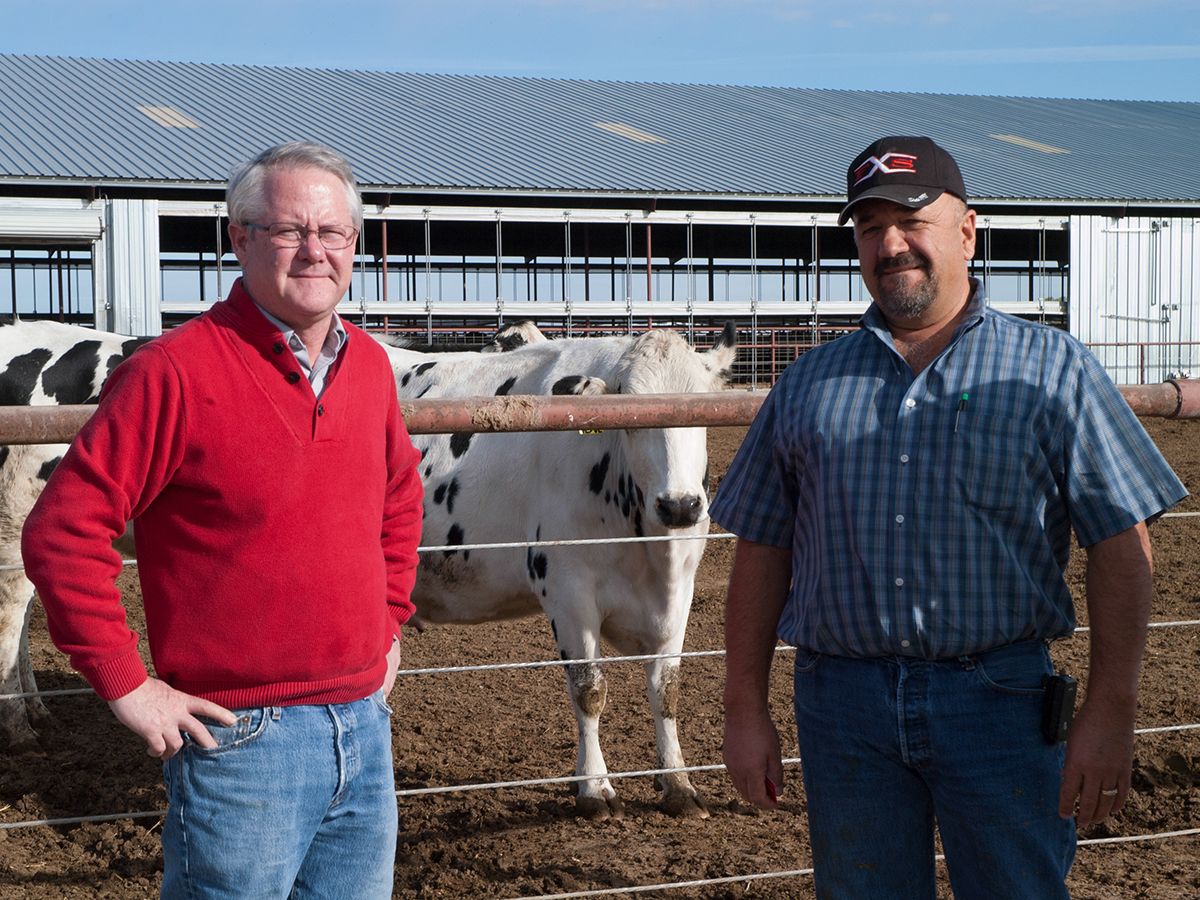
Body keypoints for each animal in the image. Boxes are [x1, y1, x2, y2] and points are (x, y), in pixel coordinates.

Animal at [384, 328, 739, 820]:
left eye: (701, 407)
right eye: (630, 412)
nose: (680, 505)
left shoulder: (680, 589)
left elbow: (666, 690)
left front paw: (678, 784)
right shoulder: (567, 588)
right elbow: (589, 689)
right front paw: (595, 788)